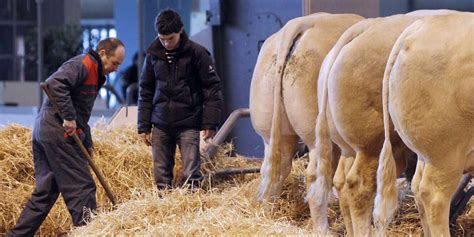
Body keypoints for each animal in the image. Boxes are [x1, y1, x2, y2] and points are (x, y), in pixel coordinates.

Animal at [248, 12, 362, 231]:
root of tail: (301, 23)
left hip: (272, 132)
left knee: (273, 169)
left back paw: (267, 213)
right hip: (315, 134)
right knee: (315, 175)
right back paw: (323, 229)